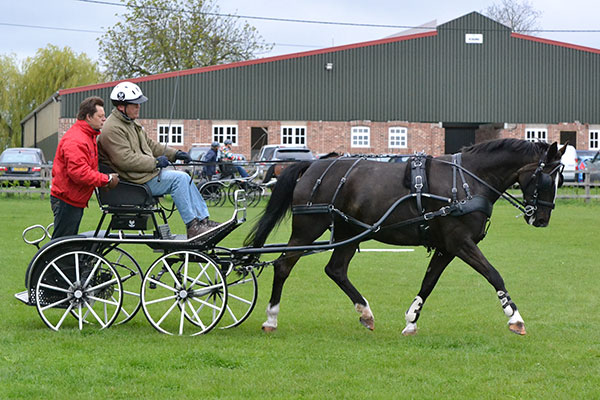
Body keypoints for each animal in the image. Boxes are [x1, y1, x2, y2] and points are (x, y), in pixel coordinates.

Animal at [244, 139, 564, 336]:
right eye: (547, 178)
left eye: (560, 178)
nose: (541, 219)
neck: (467, 180)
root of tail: (313, 165)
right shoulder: (461, 242)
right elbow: (493, 274)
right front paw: (515, 318)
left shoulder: (447, 247)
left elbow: (428, 282)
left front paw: (411, 320)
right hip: (308, 228)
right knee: (284, 265)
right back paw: (271, 317)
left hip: (349, 232)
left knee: (335, 270)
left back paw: (365, 312)